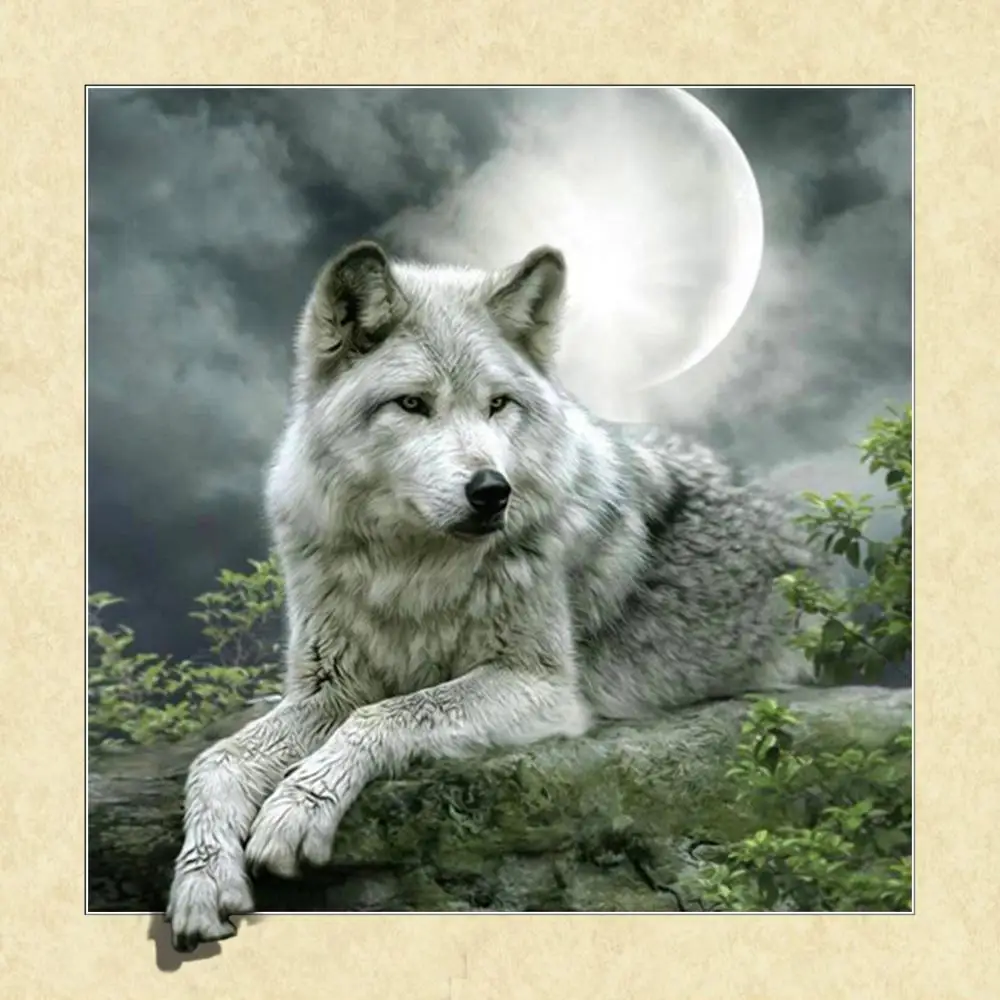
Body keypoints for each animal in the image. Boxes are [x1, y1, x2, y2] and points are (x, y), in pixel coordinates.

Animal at [165, 240, 816, 949]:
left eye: (498, 404)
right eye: (412, 404)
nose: (491, 491)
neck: (411, 569)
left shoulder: (542, 686)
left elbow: (390, 714)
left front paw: (296, 807)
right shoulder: (329, 687)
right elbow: (216, 761)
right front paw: (202, 880)